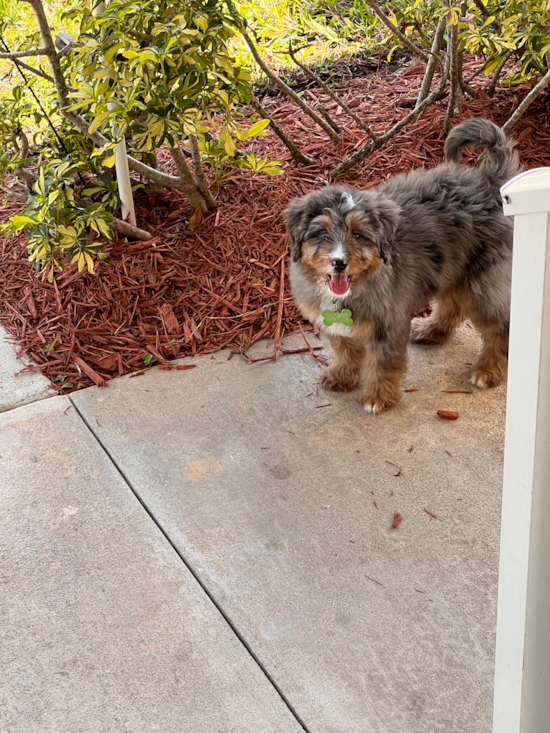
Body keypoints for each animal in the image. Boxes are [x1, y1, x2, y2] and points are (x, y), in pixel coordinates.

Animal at [286, 117, 524, 408]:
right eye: (322, 234)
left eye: (357, 234)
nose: (339, 262)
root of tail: (489, 182)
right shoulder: (339, 325)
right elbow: (345, 350)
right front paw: (341, 375)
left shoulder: (388, 323)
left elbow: (383, 362)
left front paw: (378, 396)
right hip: (451, 268)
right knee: (451, 304)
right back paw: (430, 329)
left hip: (482, 284)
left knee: (502, 327)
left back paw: (488, 370)